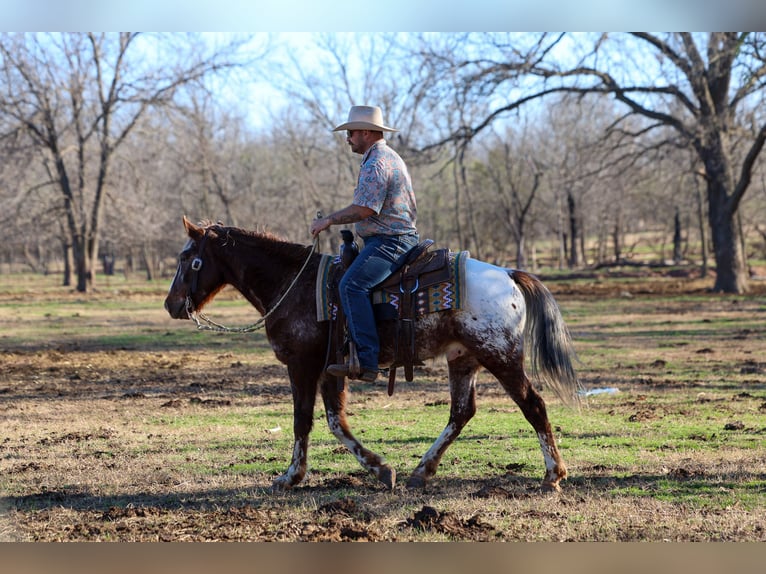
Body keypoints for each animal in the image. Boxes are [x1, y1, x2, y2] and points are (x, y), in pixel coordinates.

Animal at [164, 216, 580, 492]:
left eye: (186, 258)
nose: (171, 304)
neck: (293, 285)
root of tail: (508, 274)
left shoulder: (302, 365)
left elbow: (303, 421)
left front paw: (290, 476)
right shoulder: (330, 370)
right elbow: (336, 422)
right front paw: (381, 469)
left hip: (500, 356)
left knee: (533, 405)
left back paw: (552, 475)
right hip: (463, 358)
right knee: (461, 413)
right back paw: (422, 471)